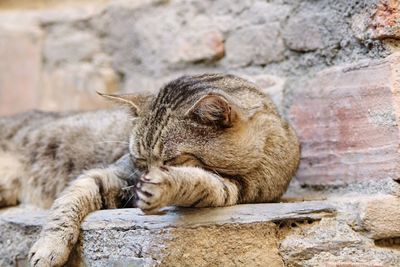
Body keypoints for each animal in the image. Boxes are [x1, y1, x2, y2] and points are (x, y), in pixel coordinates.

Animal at [0, 73, 300, 266]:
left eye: (170, 160)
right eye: (140, 160)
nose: (143, 177)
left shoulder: (230, 190)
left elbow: (198, 182)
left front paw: (163, 185)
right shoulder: (112, 174)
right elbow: (66, 205)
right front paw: (49, 246)